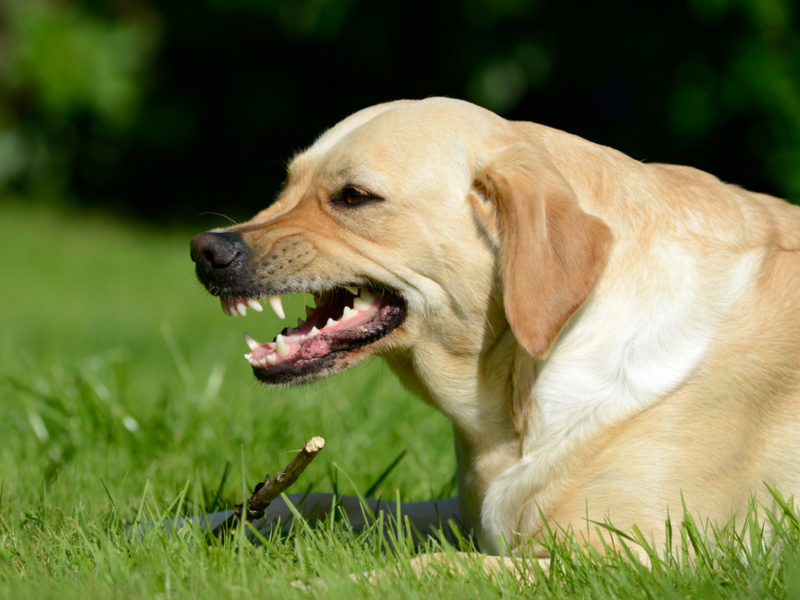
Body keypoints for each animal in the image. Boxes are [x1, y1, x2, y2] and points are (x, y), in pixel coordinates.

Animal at [191, 98, 800, 568]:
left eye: (355, 196)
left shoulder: (647, 558)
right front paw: (184, 528)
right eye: (286, 184)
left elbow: (435, 566)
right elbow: (316, 499)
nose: (206, 250)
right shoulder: (465, 514)